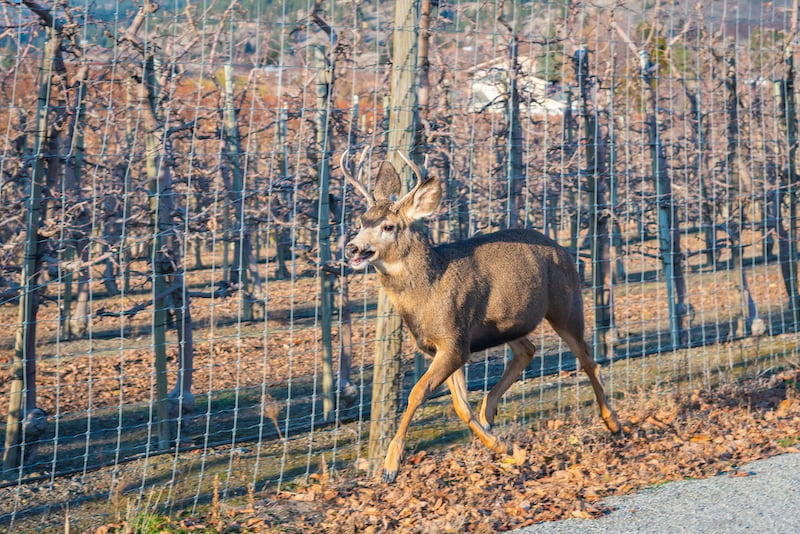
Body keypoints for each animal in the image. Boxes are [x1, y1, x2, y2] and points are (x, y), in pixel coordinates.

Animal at [340, 150, 620, 486]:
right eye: (361, 221)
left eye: (389, 226)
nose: (352, 248)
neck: (427, 291)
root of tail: (563, 249)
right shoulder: (445, 346)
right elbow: (460, 405)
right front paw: (505, 447)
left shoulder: (454, 339)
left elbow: (417, 393)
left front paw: (390, 466)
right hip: (512, 321)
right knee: (528, 350)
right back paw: (490, 413)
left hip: (566, 304)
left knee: (587, 359)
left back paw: (614, 423)